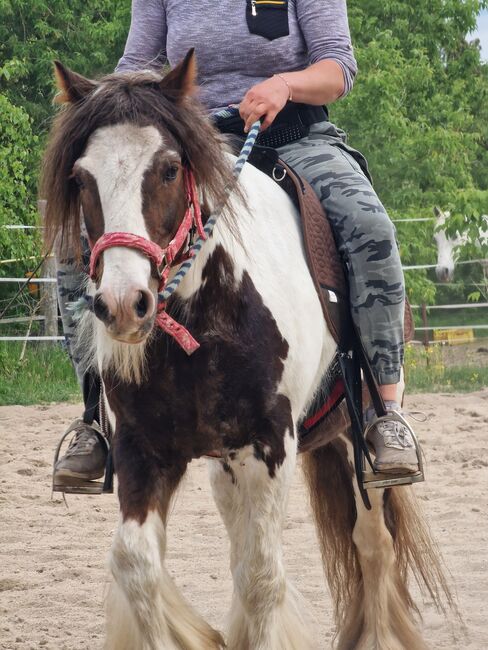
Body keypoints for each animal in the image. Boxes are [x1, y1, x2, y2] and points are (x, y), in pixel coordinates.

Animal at [42, 52, 450, 648]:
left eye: (169, 168)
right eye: (80, 177)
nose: (123, 304)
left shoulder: (269, 444)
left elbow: (261, 577)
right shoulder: (144, 447)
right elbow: (136, 565)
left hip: (357, 446)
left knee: (372, 547)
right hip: (230, 465)